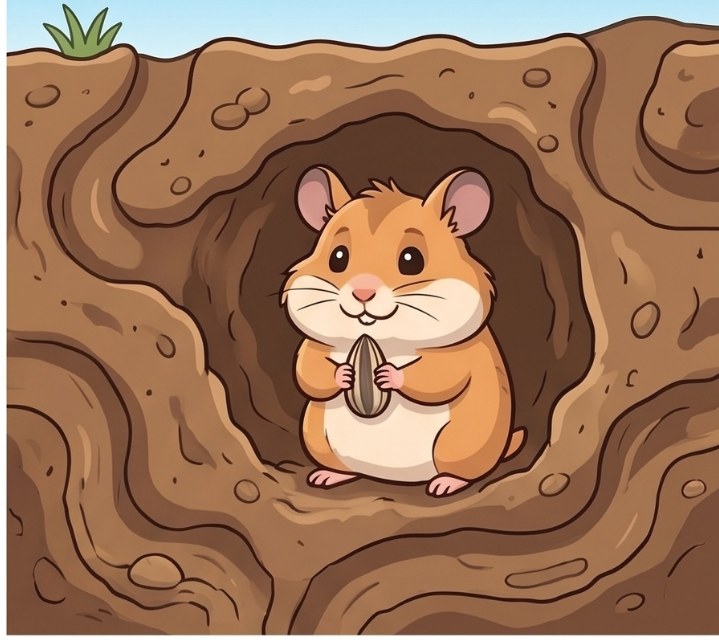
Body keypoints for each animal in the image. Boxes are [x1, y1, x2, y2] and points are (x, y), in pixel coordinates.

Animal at [281, 165, 525, 496]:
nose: (363, 292)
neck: (382, 338)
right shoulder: (313, 346)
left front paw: (387, 375)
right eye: (338, 257)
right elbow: (308, 372)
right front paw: (344, 374)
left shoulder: (457, 355)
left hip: (461, 443)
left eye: (412, 260)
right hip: (317, 437)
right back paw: (327, 476)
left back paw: (445, 484)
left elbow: (441, 376)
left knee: (463, 470)